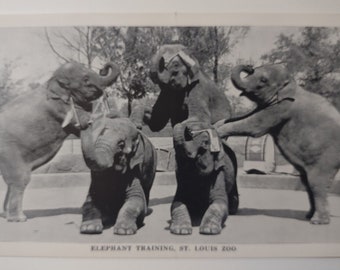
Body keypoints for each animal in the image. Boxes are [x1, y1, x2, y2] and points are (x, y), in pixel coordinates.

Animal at [0, 61, 119, 221]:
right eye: (86, 80)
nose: (103, 68)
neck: (50, 81)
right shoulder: (59, 108)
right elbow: (84, 122)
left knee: (10, 182)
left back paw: (6, 215)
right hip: (8, 150)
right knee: (19, 179)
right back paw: (18, 218)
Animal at [215, 62, 340, 224]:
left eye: (263, 80)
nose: (249, 66)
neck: (291, 84)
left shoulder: (281, 108)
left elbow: (253, 125)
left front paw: (217, 131)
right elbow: (245, 116)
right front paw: (217, 124)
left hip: (327, 158)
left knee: (317, 183)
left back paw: (318, 221)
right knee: (307, 183)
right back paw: (309, 215)